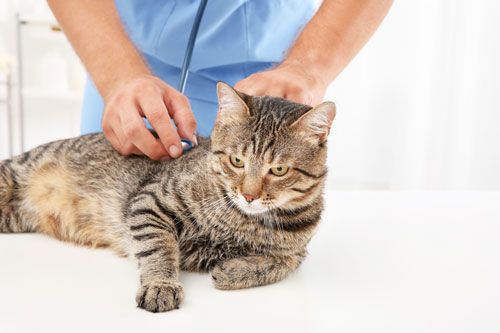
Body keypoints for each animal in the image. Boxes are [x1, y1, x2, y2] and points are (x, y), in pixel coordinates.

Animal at [0, 81, 336, 312]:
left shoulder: (297, 251)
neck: (243, 222)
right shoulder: (150, 202)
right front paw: (160, 284)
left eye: (278, 169)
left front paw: (236, 270)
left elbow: (281, 263)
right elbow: (158, 249)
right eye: (237, 161)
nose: (249, 195)